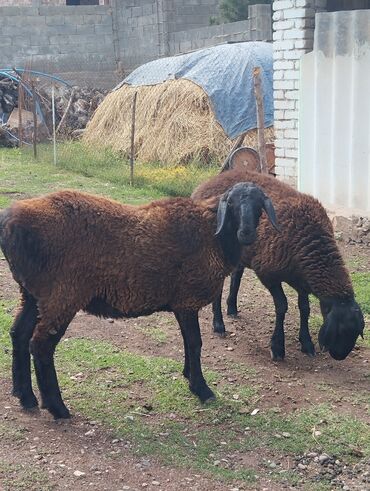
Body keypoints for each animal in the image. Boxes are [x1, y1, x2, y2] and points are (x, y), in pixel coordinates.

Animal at [0, 183, 278, 420]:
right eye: (231, 204)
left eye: (259, 206)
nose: (246, 233)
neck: (212, 235)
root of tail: (10, 221)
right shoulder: (187, 299)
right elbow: (196, 343)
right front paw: (201, 388)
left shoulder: (180, 303)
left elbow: (187, 343)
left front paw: (188, 375)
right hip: (62, 294)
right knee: (41, 345)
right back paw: (57, 407)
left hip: (33, 293)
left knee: (18, 334)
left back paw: (25, 397)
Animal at [192, 169, 366, 362]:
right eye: (340, 330)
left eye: (356, 332)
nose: (340, 356)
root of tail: (210, 181)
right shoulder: (268, 273)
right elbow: (282, 306)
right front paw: (277, 347)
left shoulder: (301, 280)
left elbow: (304, 308)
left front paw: (306, 343)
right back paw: (219, 325)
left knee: (236, 274)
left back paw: (232, 308)